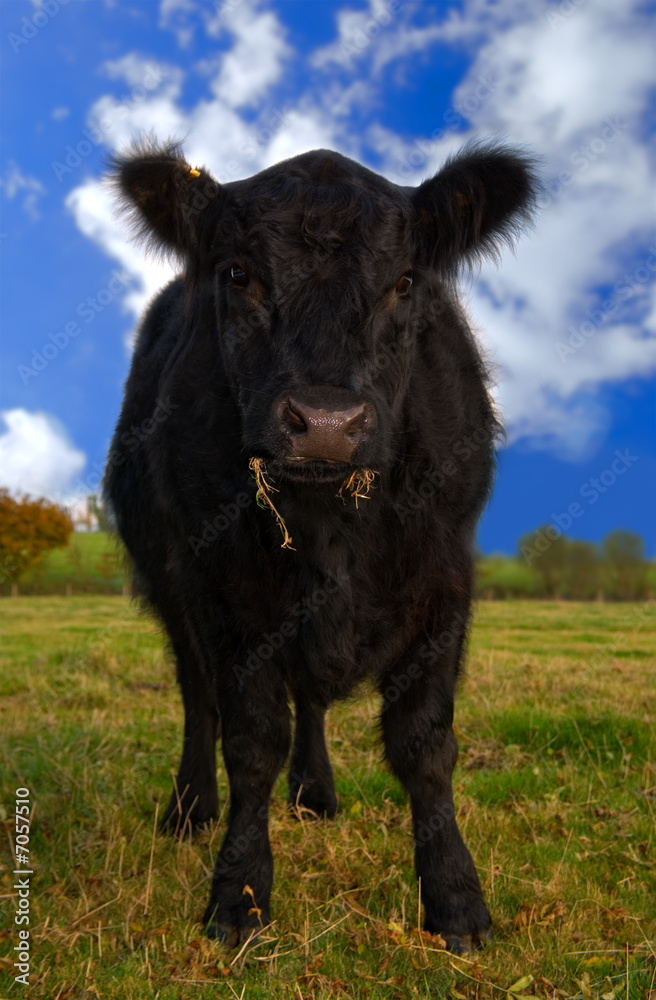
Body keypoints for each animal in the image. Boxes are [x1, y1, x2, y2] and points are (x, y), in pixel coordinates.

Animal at [104, 137, 538, 954]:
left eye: (405, 281)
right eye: (238, 274)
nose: (328, 423)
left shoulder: (445, 576)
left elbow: (425, 744)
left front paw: (456, 901)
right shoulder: (223, 586)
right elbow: (249, 739)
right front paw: (239, 897)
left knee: (308, 697)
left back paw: (315, 791)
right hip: (170, 582)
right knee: (198, 696)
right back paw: (189, 808)